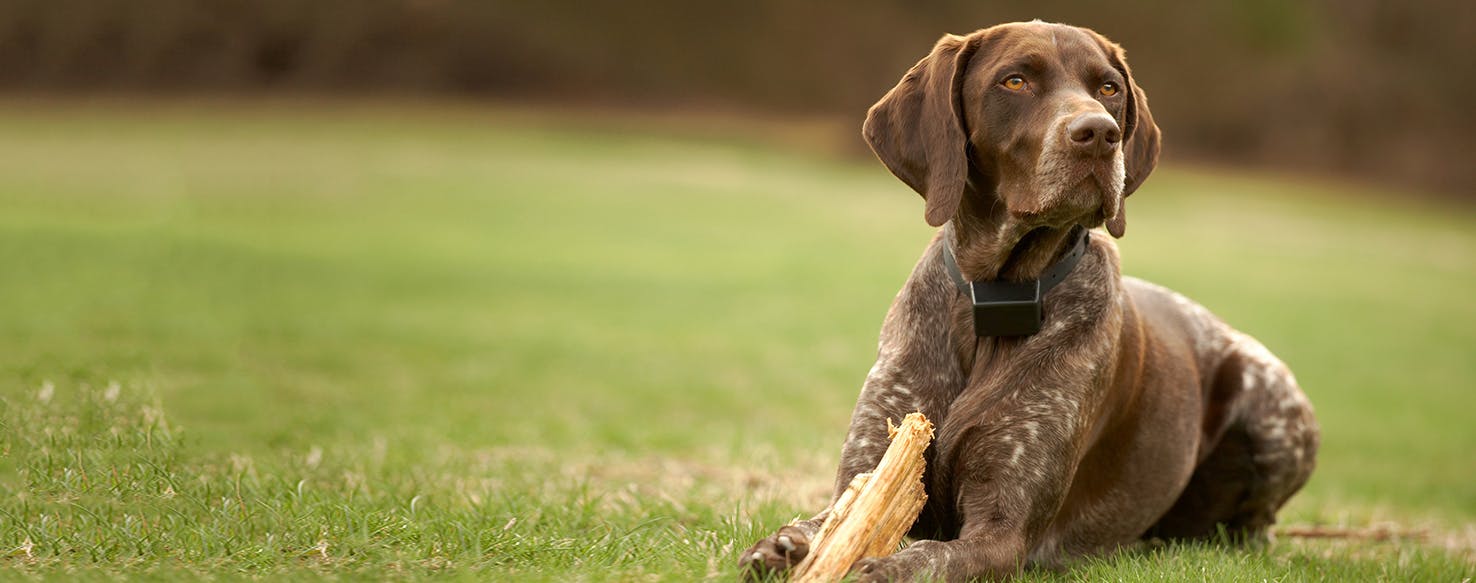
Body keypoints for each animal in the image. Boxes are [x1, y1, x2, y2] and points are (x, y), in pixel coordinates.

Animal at [743, 20, 1322, 581]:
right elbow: (824, 522)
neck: (996, 297)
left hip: (1272, 406)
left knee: (1253, 528)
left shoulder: (1003, 531)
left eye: (1108, 89)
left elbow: (926, 557)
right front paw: (785, 545)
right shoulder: (871, 467)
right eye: (1015, 81)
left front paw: (879, 568)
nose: (1100, 134)